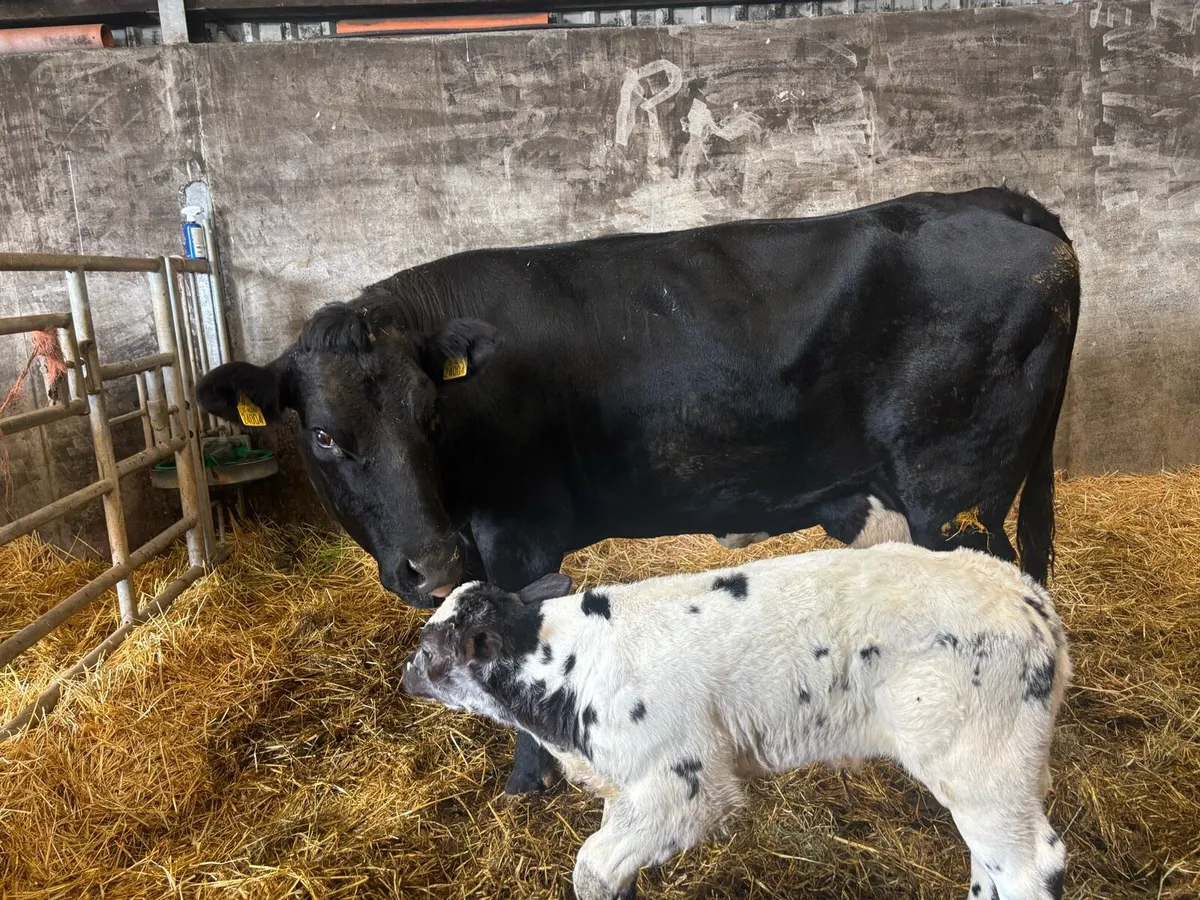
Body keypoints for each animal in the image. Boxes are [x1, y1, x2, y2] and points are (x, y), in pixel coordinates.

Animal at [195, 186, 1079, 794]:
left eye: (429, 415)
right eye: (323, 434)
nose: (433, 563)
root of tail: (992, 200)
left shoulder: (519, 537)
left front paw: (530, 781)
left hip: (953, 498)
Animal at [402, 543, 1072, 900]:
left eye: (431, 652)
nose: (404, 676)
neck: (566, 666)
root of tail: (1034, 604)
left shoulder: (682, 783)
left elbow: (592, 870)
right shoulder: (629, 789)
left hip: (981, 756)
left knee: (1030, 866)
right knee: (990, 862)